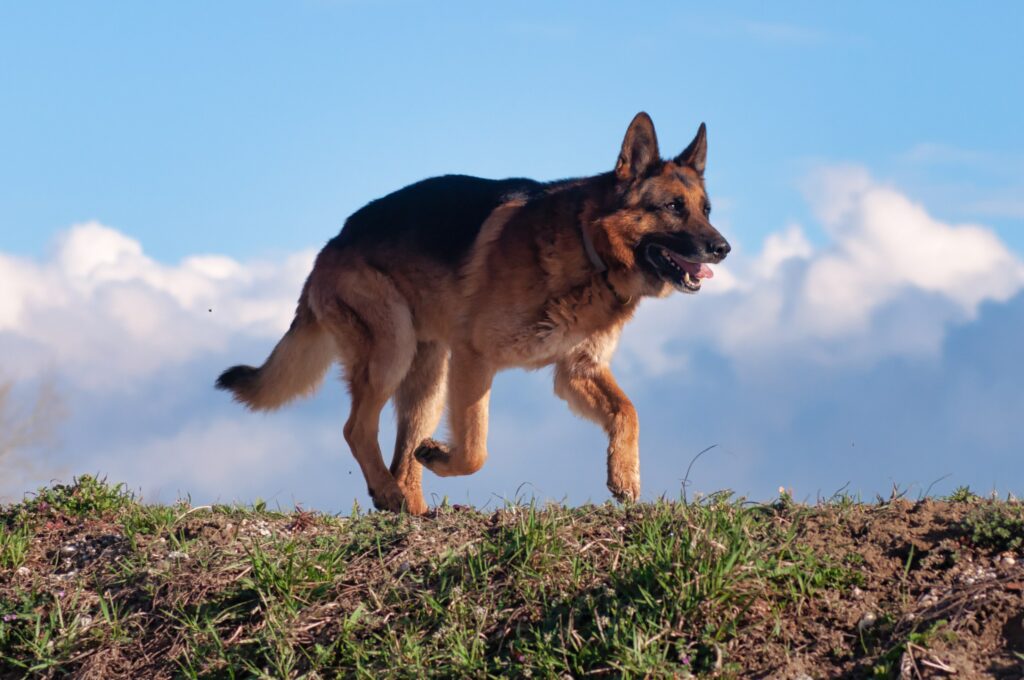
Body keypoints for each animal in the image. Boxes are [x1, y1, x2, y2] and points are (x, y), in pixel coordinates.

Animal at [218, 112, 729, 516]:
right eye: (672, 207)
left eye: (706, 209)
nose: (723, 248)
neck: (590, 249)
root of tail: (330, 246)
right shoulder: (474, 359)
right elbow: (476, 450)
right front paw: (443, 457)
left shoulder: (577, 371)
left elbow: (628, 411)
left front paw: (624, 475)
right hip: (394, 350)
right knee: (357, 429)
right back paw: (388, 492)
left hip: (427, 377)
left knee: (401, 455)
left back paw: (412, 510)